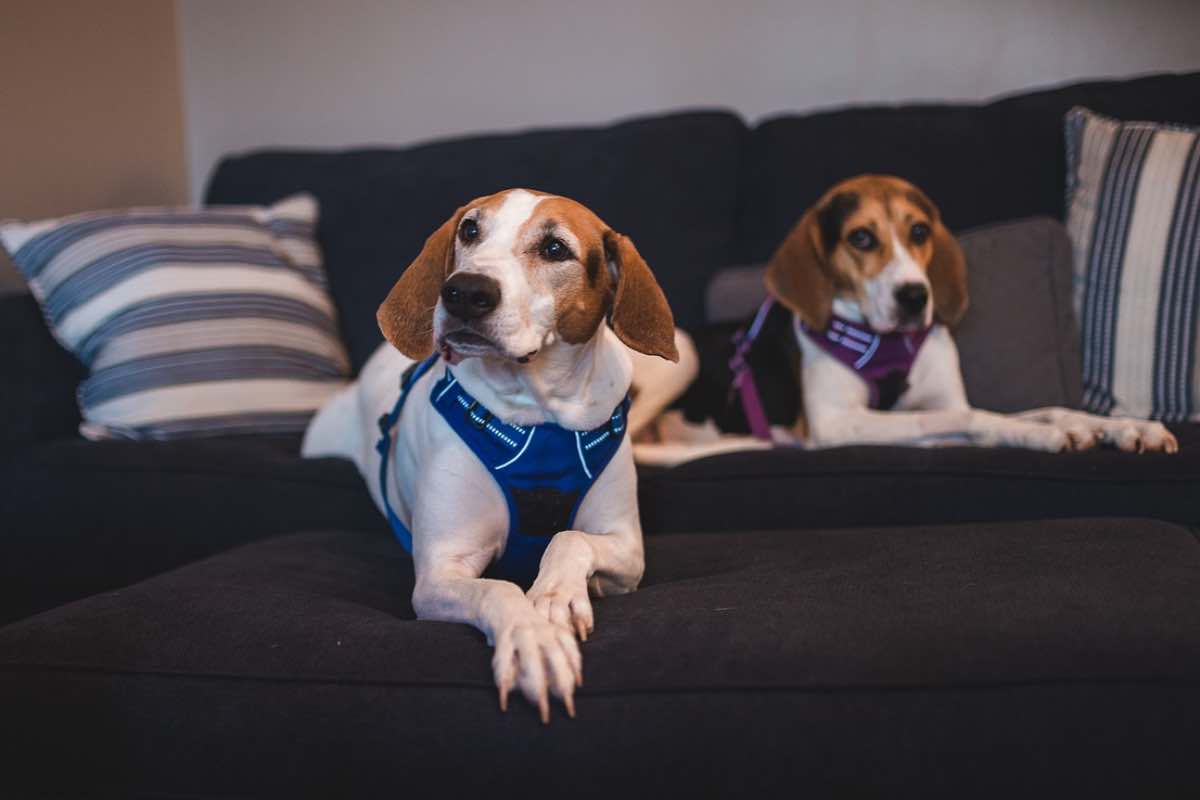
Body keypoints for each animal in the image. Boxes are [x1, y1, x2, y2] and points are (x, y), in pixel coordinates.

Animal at [300, 189, 686, 724]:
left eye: (554, 249)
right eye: (470, 230)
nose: (464, 292)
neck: (535, 416)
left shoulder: (627, 550)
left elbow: (568, 537)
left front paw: (555, 595)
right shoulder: (439, 574)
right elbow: (499, 588)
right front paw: (534, 644)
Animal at [633, 175, 1176, 462]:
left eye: (919, 231)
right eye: (861, 237)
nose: (915, 296)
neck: (885, 343)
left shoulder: (938, 400)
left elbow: (1047, 408)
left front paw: (1126, 428)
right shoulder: (838, 423)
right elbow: (967, 418)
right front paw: (1035, 436)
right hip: (685, 354)